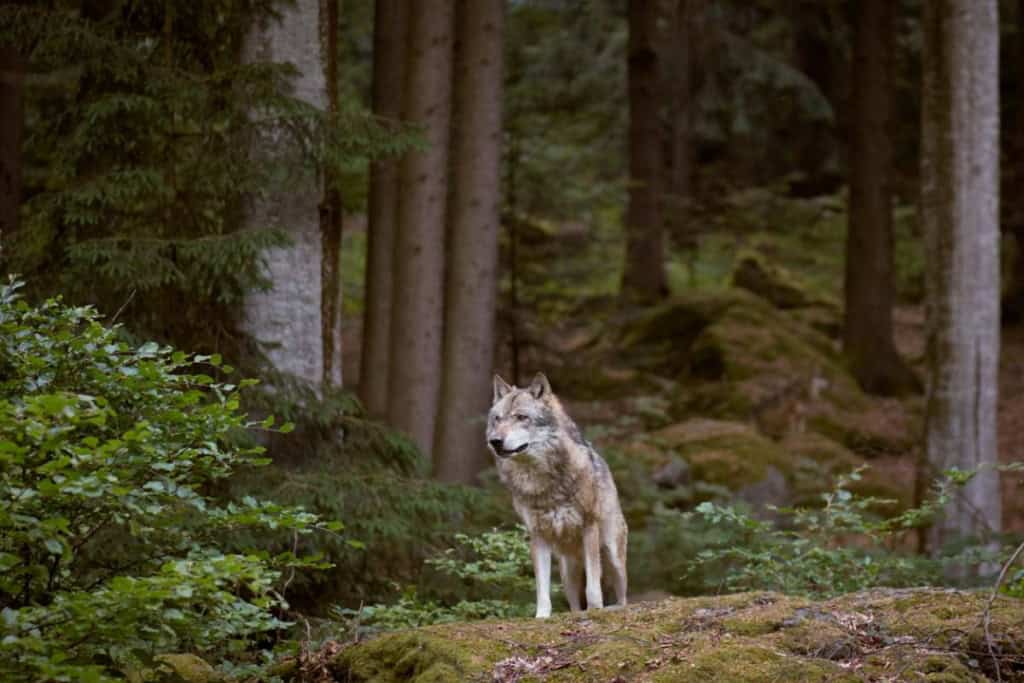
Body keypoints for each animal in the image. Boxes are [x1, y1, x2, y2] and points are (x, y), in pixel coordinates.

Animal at [487, 372, 628, 618]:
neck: (542, 481)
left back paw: (614, 608)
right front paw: (542, 616)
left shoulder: (589, 525)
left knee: (623, 596)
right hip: (567, 573)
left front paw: (595, 609)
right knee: (573, 604)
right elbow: (542, 588)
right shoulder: (537, 535)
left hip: (613, 557)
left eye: (521, 417)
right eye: (497, 419)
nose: (494, 441)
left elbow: (593, 585)